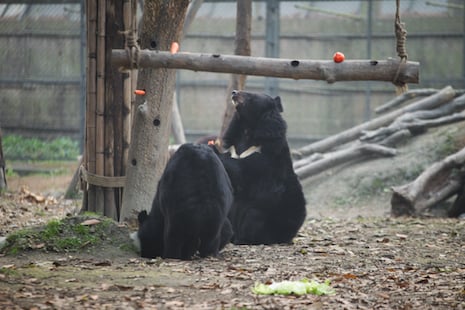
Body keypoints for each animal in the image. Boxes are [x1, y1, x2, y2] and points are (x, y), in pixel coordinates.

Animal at [216, 89, 306, 245]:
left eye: (250, 95)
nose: (234, 92)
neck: (247, 129)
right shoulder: (233, 147)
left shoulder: (265, 155)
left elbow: (242, 172)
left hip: (268, 213)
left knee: (253, 218)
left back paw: (244, 239)